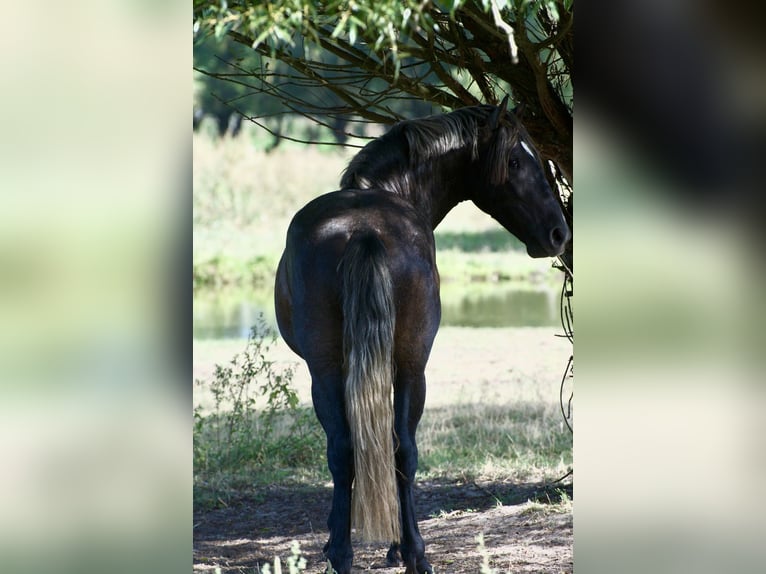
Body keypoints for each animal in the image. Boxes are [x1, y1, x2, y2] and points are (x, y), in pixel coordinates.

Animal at [274, 97, 568, 572]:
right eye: (515, 160)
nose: (560, 233)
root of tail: (364, 227)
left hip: (347, 370)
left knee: (359, 450)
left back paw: (355, 552)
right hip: (403, 366)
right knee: (389, 450)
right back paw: (404, 551)